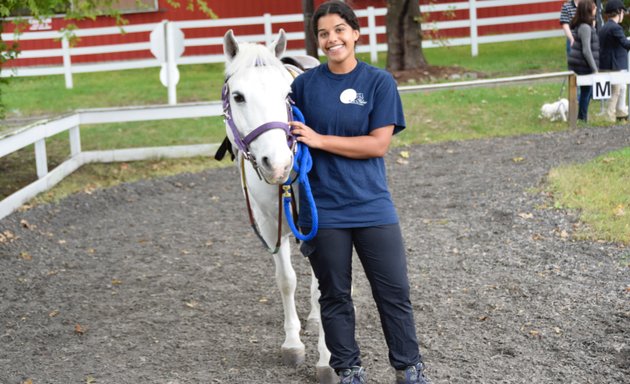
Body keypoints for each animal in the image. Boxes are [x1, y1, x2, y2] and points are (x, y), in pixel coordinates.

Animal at [221, 28, 336, 382]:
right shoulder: (272, 225)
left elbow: (323, 286)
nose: (279, 164)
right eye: (238, 97)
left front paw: (327, 359)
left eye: (288, 94)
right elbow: (286, 281)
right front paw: (293, 344)